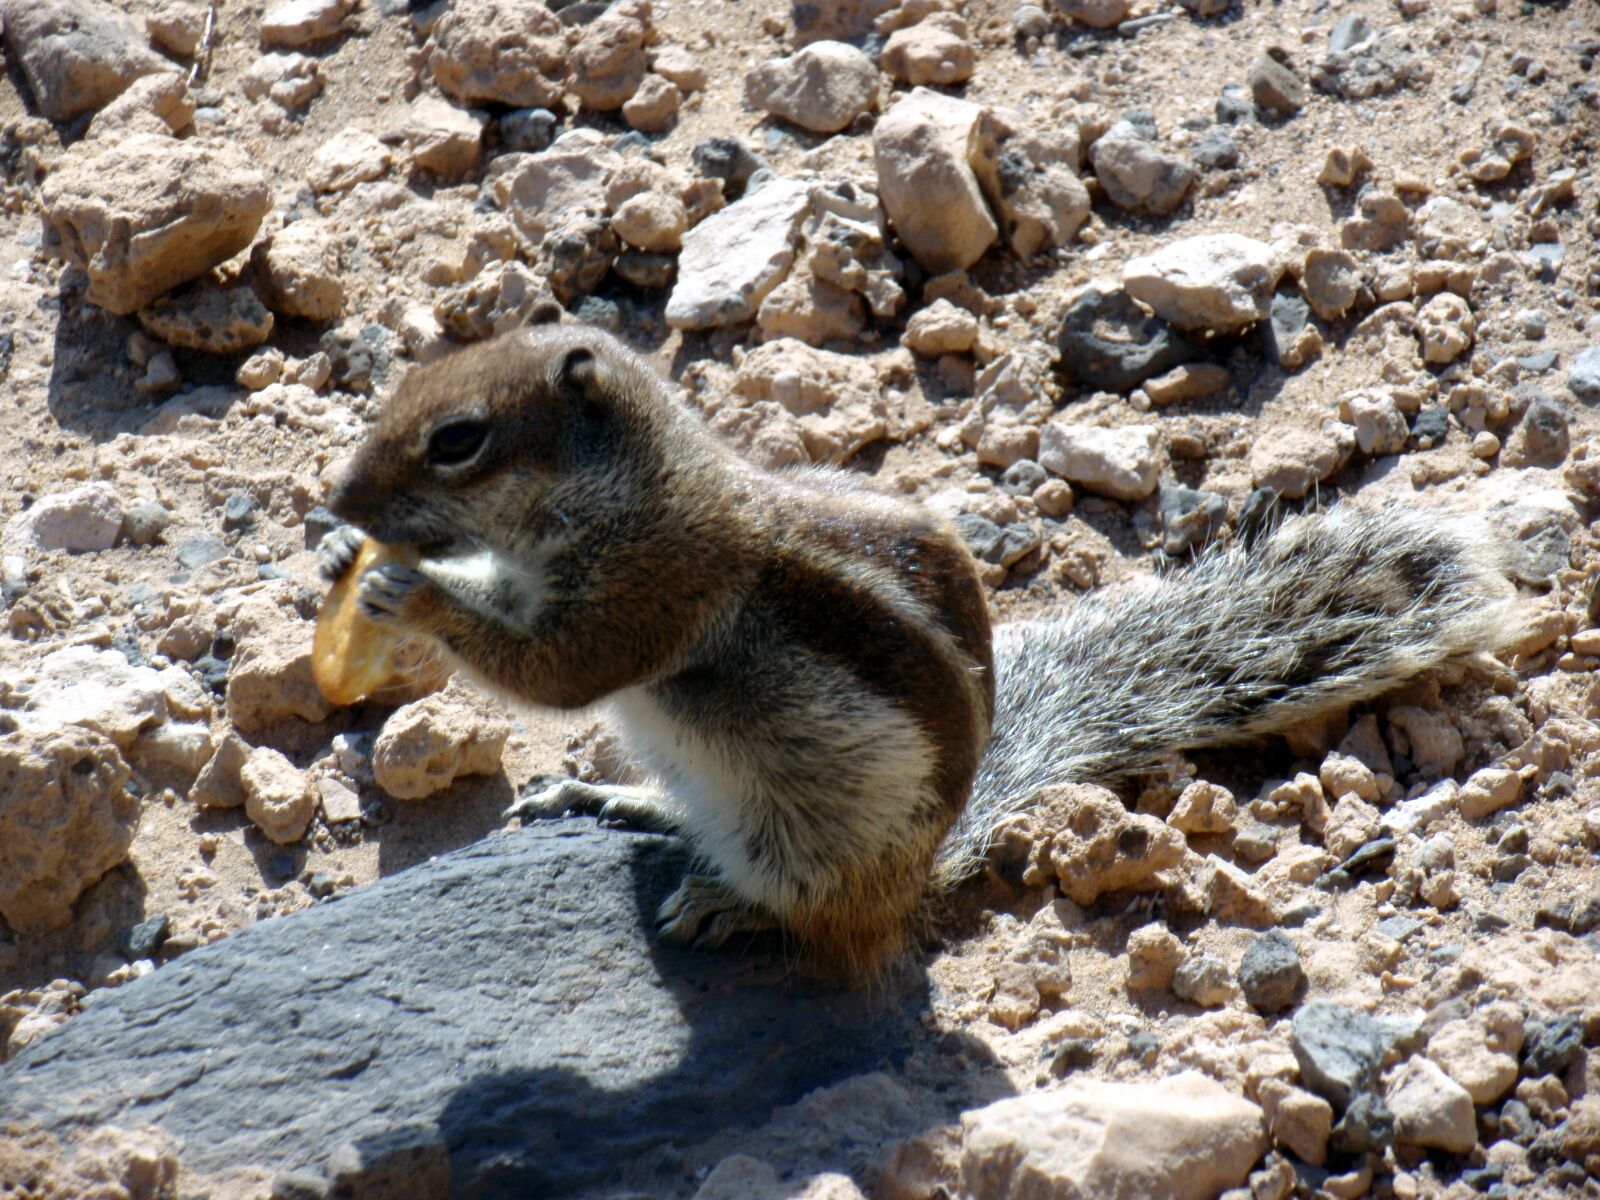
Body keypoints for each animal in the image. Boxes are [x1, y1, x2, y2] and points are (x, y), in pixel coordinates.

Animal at [323, 324, 1523, 982]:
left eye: (458, 439)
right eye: (405, 389)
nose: (338, 499)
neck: (638, 483)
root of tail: (924, 868)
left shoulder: (652, 588)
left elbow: (555, 671)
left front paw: (408, 590)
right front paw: (341, 556)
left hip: (807, 834)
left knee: (820, 917)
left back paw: (732, 902)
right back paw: (625, 801)